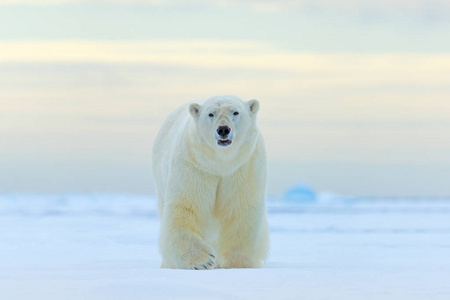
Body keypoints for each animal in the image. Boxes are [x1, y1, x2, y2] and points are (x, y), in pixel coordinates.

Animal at [153, 95, 268, 268]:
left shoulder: (243, 167)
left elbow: (241, 210)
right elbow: (186, 206)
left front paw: (238, 264)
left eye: (235, 112)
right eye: (211, 114)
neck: (220, 164)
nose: (223, 129)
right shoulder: (195, 165)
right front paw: (203, 261)